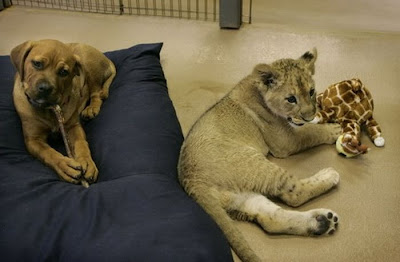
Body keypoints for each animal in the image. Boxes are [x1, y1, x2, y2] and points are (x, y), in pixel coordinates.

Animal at [10, 40, 115, 185]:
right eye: (37, 63)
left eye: (64, 72)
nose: (45, 88)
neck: (49, 110)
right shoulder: (33, 139)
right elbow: (48, 153)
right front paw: (64, 166)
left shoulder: (73, 126)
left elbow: (81, 143)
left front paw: (87, 162)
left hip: (88, 66)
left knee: (96, 93)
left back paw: (91, 108)